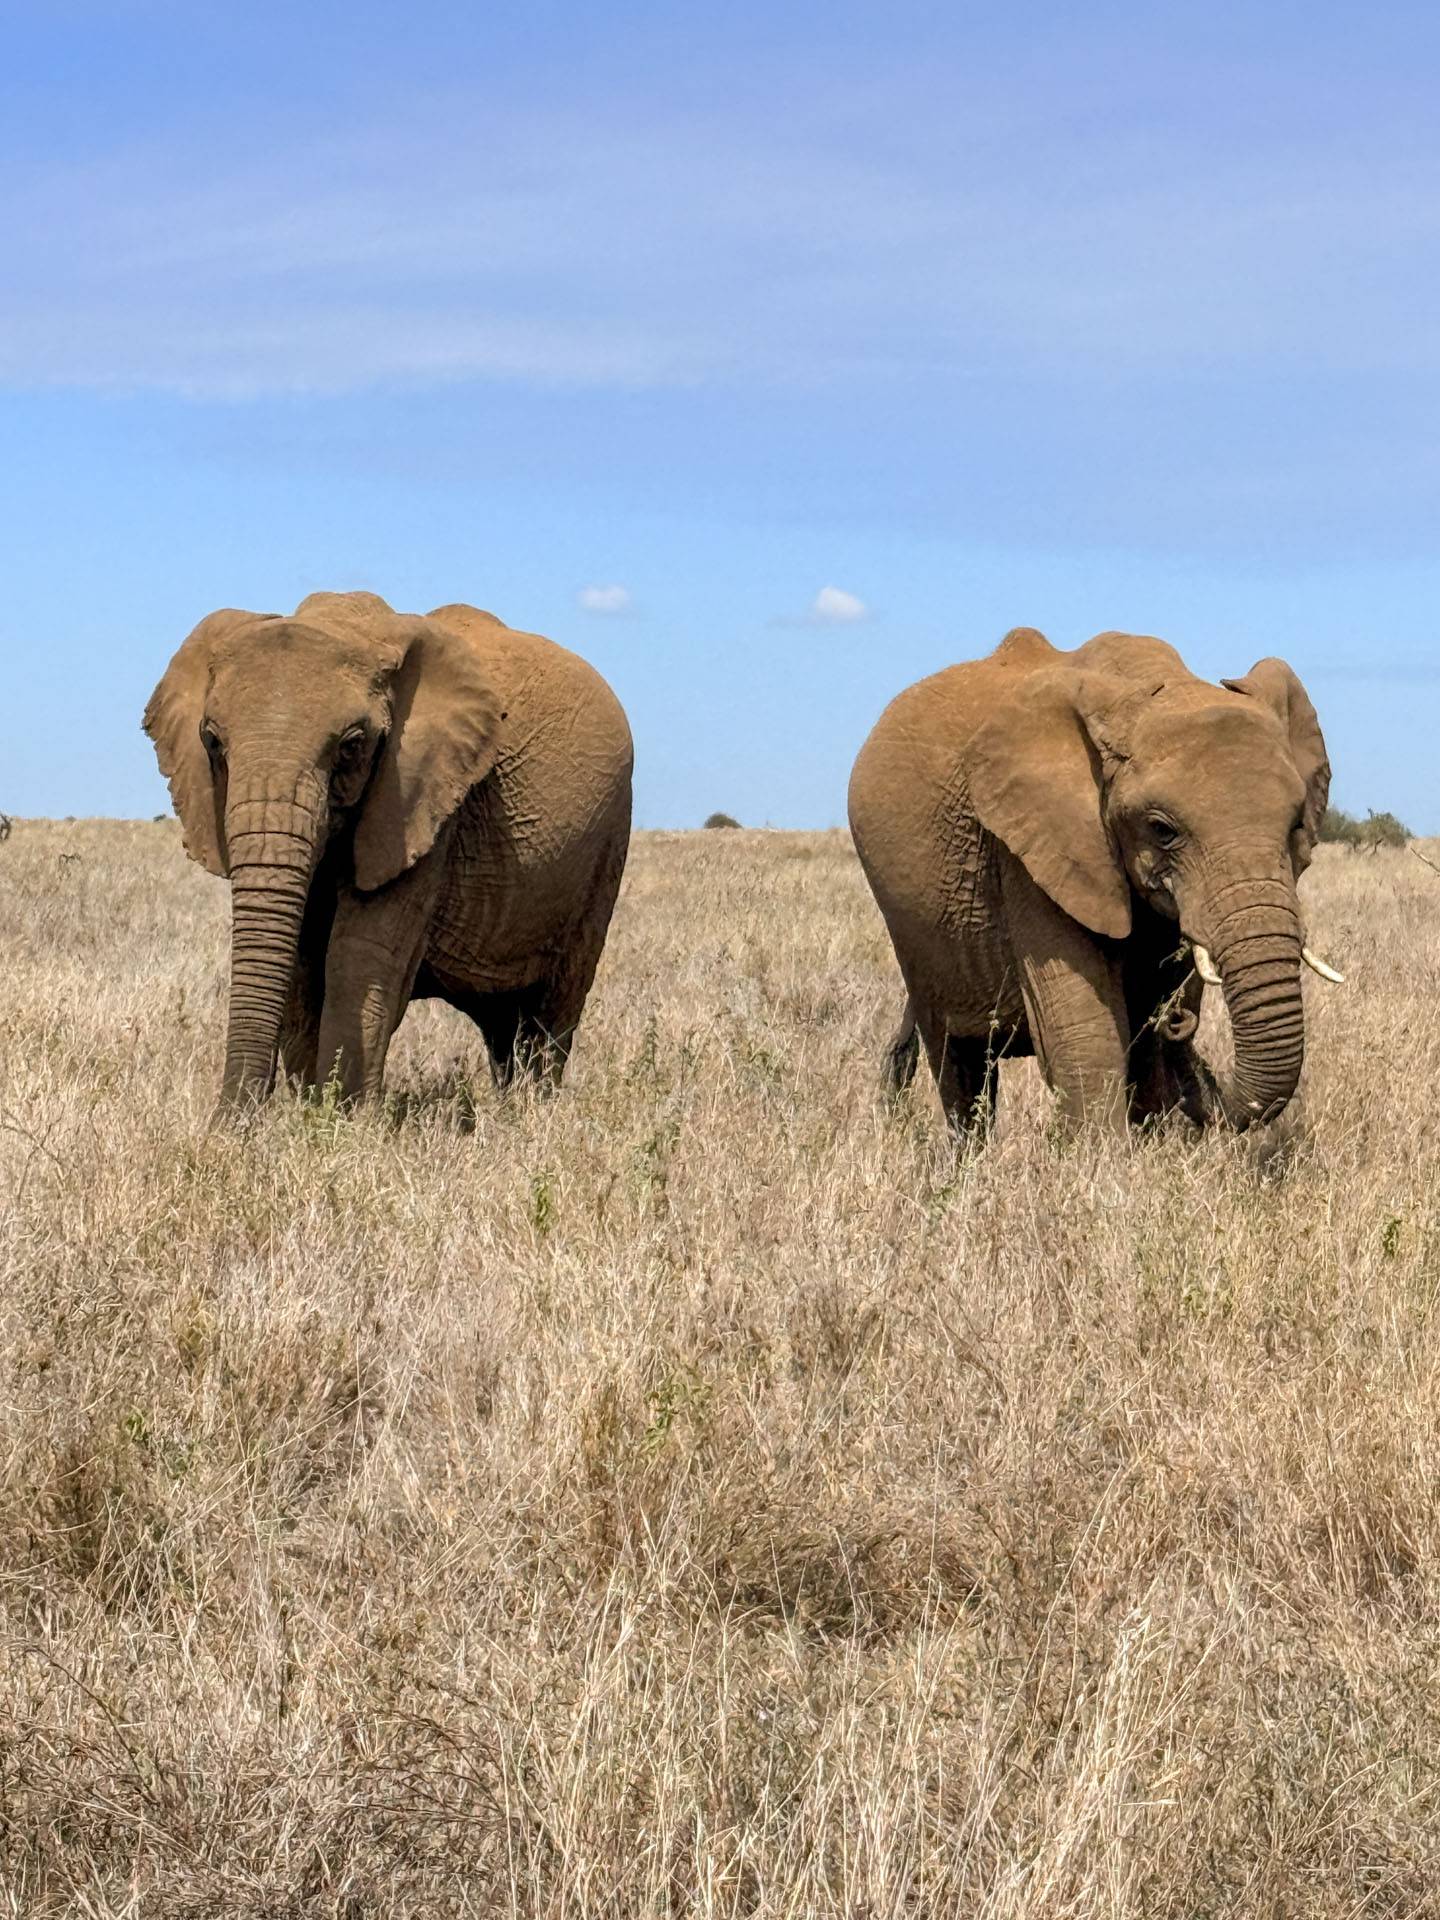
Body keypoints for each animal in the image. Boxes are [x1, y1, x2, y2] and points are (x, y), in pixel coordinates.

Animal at [144, 590, 632, 1112]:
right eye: (212, 741)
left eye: (352, 746)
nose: (229, 1121)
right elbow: (301, 962)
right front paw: (309, 1109)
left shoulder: (422, 801)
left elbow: (358, 956)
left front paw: (340, 1118)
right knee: (502, 1024)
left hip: (605, 850)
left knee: (552, 1008)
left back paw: (532, 1110)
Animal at [848, 627, 1341, 1136]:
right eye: (1162, 829)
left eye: (1295, 826)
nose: (1178, 1018)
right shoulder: (1027, 848)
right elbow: (1086, 1035)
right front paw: (1099, 1154)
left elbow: (1144, 1036)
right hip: (913, 927)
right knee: (956, 1059)